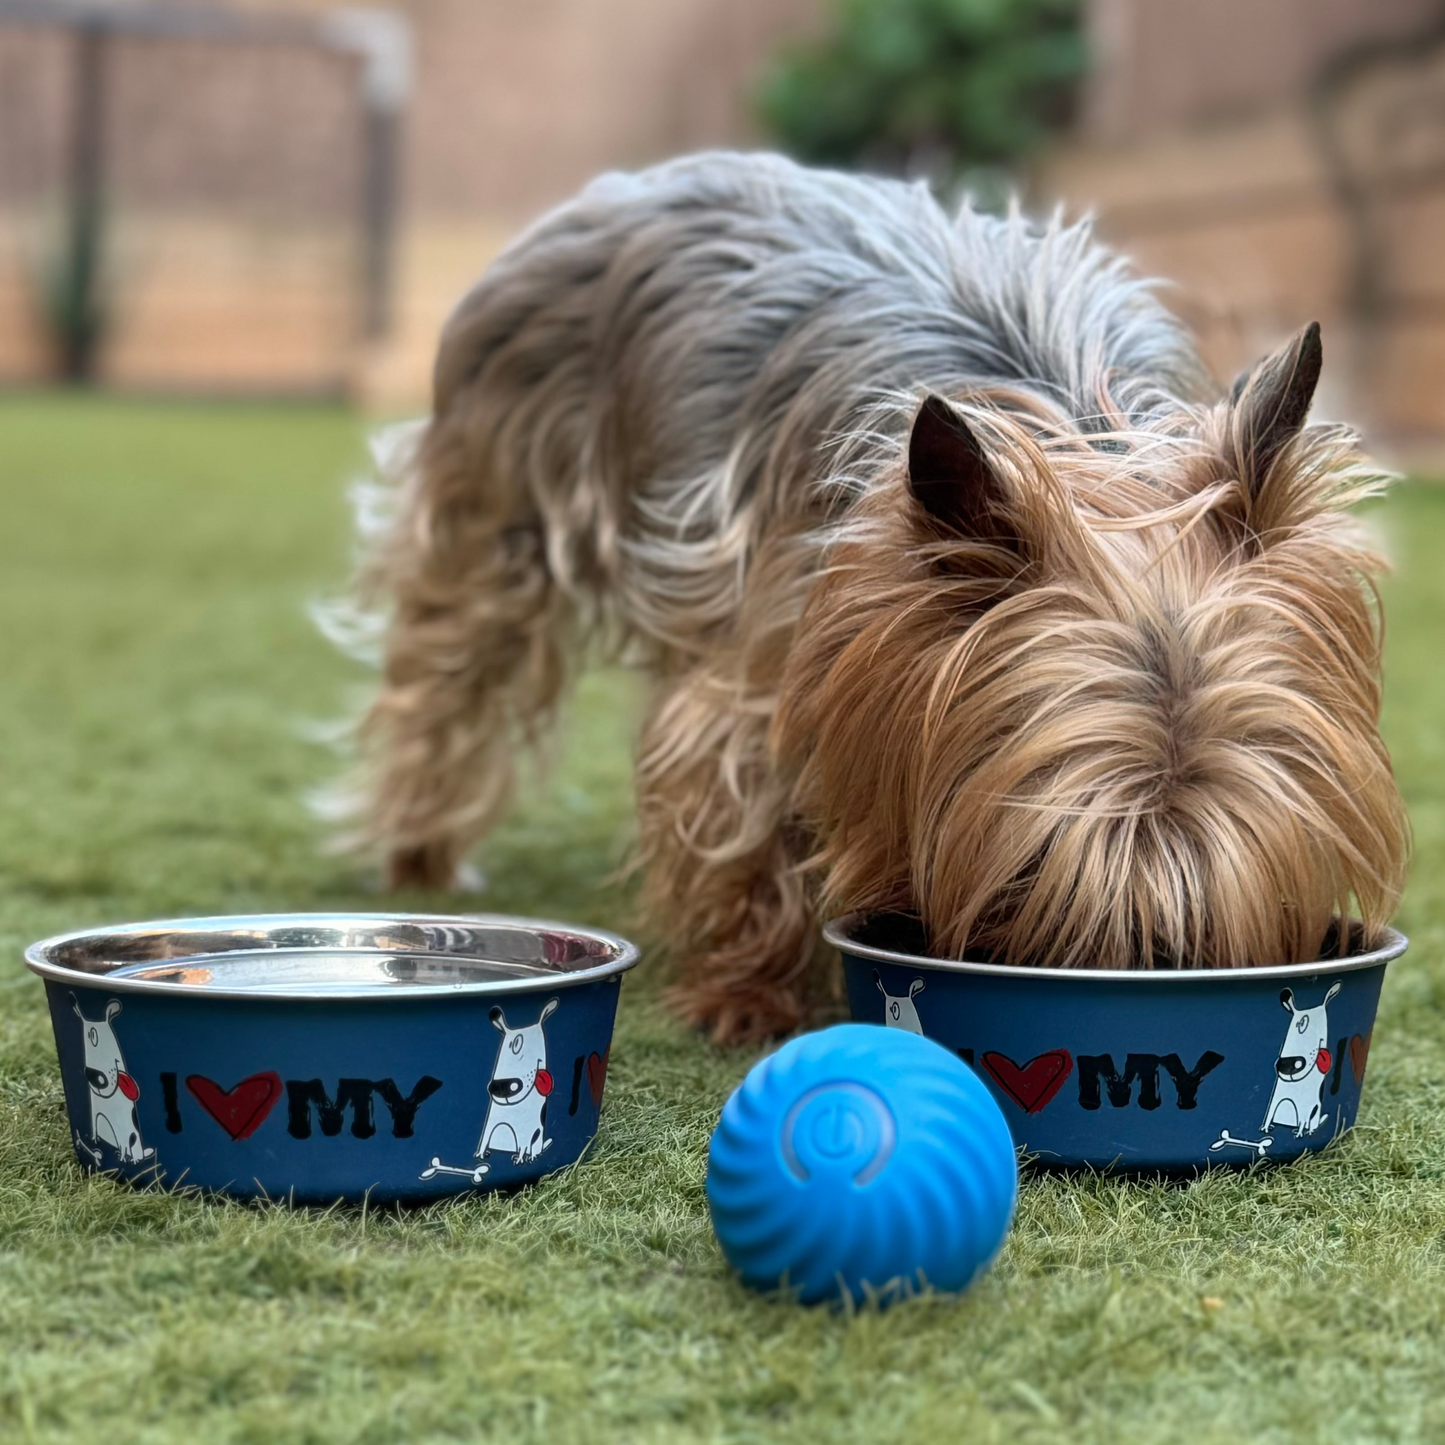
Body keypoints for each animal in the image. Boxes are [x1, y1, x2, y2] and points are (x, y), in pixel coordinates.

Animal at [325, 149, 1398, 1040]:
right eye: (1035, 865)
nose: (1147, 981)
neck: (1069, 431)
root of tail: (629, 182)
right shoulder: (767, 652)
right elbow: (739, 811)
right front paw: (747, 995)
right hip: (497, 499)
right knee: (448, 675)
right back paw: (421, 852)